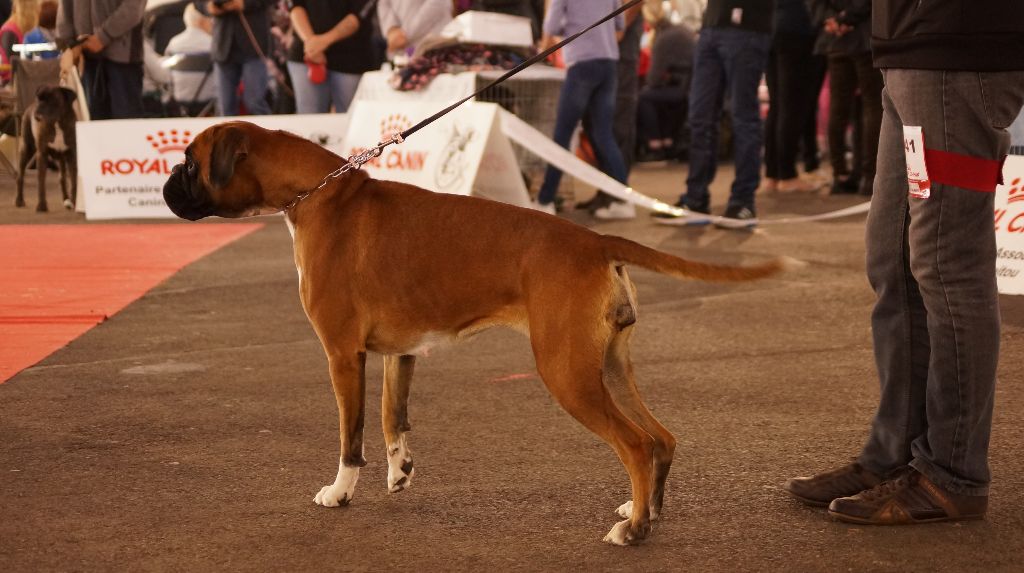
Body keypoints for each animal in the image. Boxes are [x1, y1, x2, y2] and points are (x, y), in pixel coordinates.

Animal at [16, 83, 77, 211]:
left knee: (62, 178)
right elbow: (41, 181)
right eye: (38, 99)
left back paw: (66, 199)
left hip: (61, 159)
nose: (37, 113)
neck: (58, 123)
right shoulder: (42, 155)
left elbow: (74, 181)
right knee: (20, 176)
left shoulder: (72, 155)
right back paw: (19, 200)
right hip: (27, 149)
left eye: (53, 100)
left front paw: (74, 202)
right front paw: (41, 205)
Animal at [165, 121, 790, 544]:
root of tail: (593, 243)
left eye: (191, 164)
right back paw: (647, 513)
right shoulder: (399, 352)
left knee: (635, 444)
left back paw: (632, 531)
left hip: (567, 373)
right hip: (610, 367)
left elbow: (352, 435)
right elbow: (394, 418)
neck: (320, 192)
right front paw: (399, 473)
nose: (169, 183)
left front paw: (340, 493)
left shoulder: (343, 355)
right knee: (661, 437)